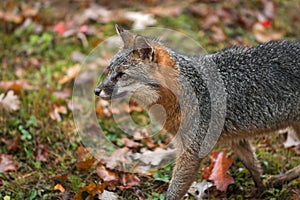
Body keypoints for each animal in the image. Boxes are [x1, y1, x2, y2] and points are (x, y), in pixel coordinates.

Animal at [95, 25, 300, 200]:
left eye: (122, 75)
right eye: (109, 70)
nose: (96, 91)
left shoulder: (192, 152)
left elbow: (174, 191)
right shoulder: (236, 139)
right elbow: (254, 167)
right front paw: (261, 190)